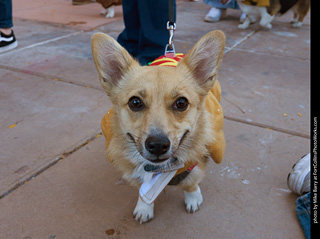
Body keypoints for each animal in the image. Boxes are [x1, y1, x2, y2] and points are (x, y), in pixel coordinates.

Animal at [91, 30, 226, 223]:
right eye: (135, 102)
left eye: (181, 103)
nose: (157, 145)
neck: (161, 170)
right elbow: (143, 191)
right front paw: (144, 207)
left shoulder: (194, 164)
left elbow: (190, 183)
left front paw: (193, 198)